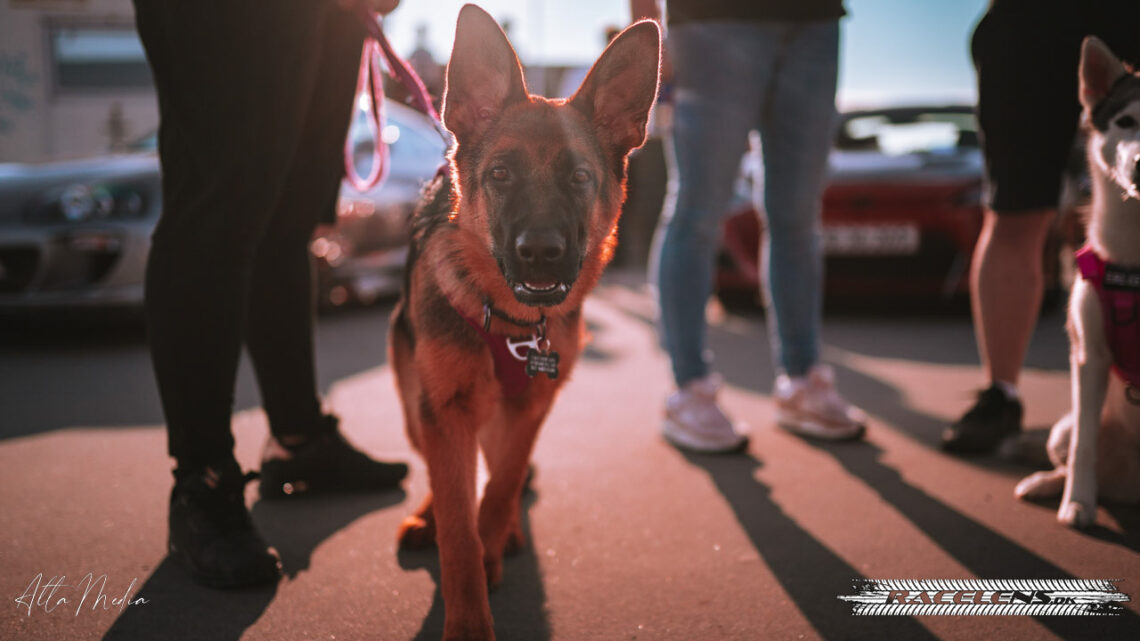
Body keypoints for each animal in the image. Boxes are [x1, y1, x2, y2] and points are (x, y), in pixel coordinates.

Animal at [389, 3, 661, 634]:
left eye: (580, 177)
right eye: (500, 174)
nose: (541, 252)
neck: (512, 327)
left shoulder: (534, 406)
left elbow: (501, 487)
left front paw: (493, 545)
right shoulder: (446, 408)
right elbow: (458, 525)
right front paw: (467, 619)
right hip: (416, 402)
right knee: (441, 469)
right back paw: (426, 516)